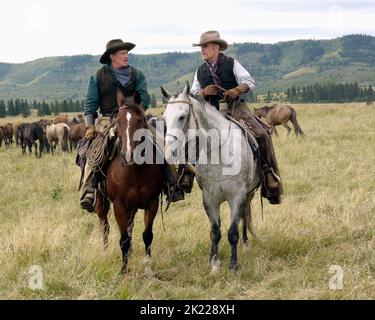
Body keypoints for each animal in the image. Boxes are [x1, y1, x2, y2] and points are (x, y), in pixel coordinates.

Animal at [94, 91, 164, 274]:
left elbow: (147, 235)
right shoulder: (118, 205)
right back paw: (105, 251)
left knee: (130, 226)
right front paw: (123, 271)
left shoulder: (152, 202)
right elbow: (123, 239)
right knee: (105, 225)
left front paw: (148, 268)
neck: (135, 171)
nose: (128, 155)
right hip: (102, 203)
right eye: (117, 122)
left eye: (139, 120)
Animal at [162, 83, 262, 272]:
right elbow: (215, 232)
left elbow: (233, 232)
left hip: (249, 193)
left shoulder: (236, 196)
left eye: (182, 116)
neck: (219, 153)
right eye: (164, 119)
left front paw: (233, 265)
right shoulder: (209, 198)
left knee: (245, 215)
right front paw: (214, 264)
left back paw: (245, 244)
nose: (168, 153)